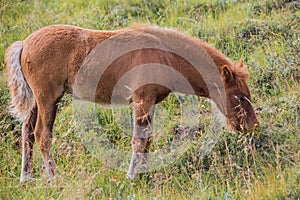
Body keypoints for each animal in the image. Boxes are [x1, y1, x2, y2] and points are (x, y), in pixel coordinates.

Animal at [4, 24, 258, 181]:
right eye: (239, 95)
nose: (252, 125)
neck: (164, 54)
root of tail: (25, 43)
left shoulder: (150, 102)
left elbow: (147, 139)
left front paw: (143, 173)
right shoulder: (142, 100)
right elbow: (138, 140)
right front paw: (132, 176)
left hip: (37, 102)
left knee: (27, 132)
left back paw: (26, 178)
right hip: (48, 99)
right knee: (42, 135)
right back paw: (55, 177)